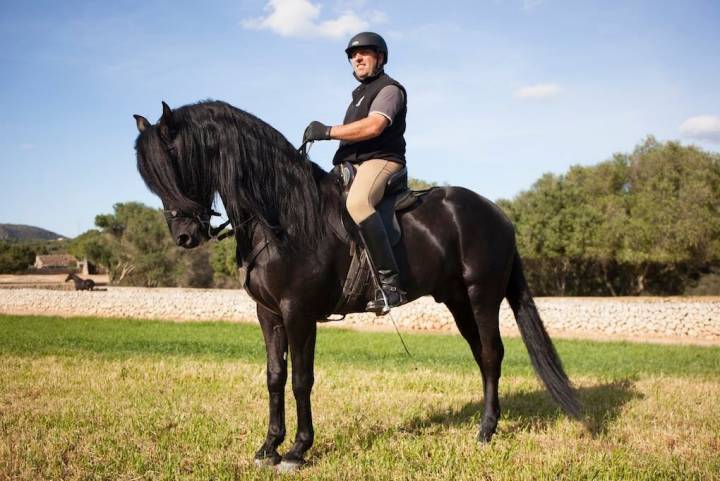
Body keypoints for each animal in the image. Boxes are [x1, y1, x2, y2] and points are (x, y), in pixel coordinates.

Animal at [131, 100, 580, 468]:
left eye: (176, 162)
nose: (185, 236)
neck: (282, 216)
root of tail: (498, 214)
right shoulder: (269, 313)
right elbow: (275, 377)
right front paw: (268, 447)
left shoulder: (298, 312)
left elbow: (301, 379)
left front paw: (297, 450)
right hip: (456, 300)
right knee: (482, 356)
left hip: (482, 295)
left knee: (490, 354)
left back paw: (486, 431)